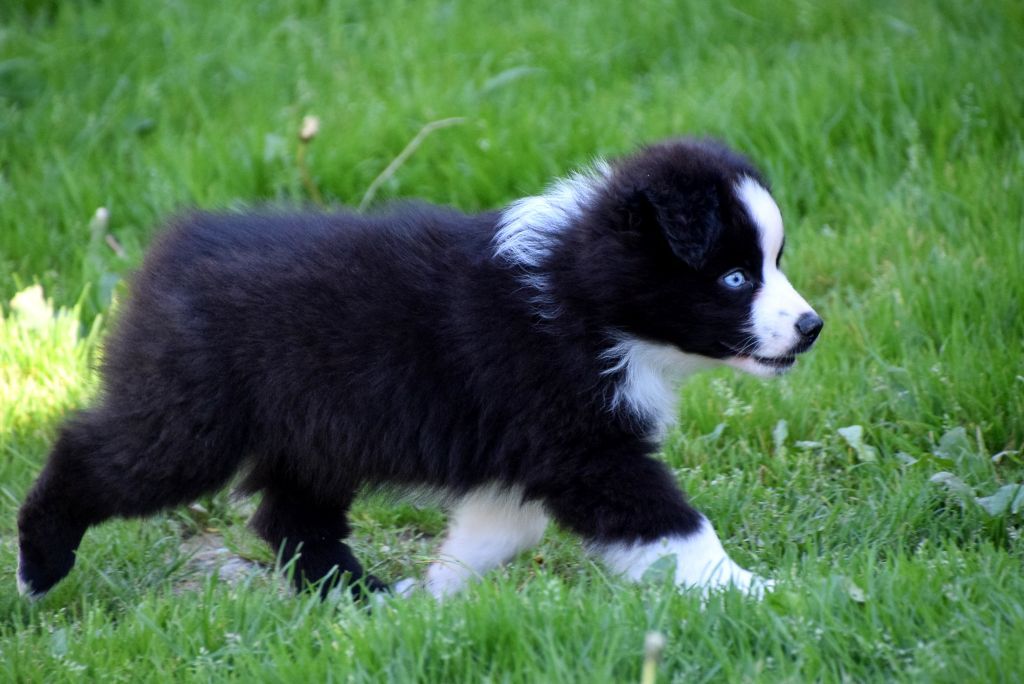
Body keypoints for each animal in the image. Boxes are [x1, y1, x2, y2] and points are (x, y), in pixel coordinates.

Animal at [18, 137, 823, 597]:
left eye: (776, 262)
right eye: (734, 278)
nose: (812, 328)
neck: (583, 297)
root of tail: (170, 254)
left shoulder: (533, 450)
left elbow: (501, 530)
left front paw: (440, 598)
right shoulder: (582, 444)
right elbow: (675, 527)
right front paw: (754, 590)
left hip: (316, 434)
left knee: (289, 520)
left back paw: (366, 597)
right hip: (194, 416)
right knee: (95, 450)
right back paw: (37, 565)